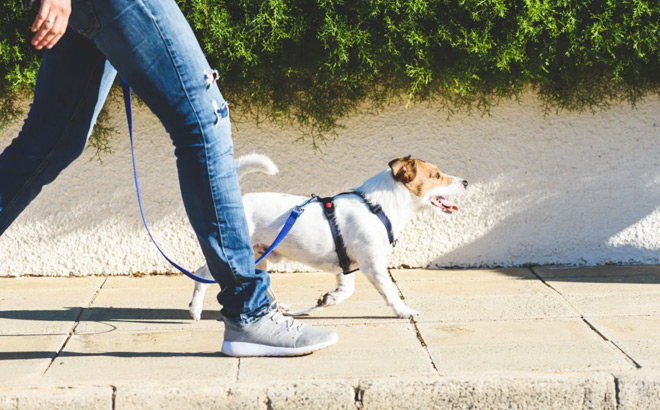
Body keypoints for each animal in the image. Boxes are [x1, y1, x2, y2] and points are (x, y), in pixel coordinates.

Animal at [189, 155, 470, 318]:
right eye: (436, 176)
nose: (467, 182)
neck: (378, 206)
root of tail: (237, 203)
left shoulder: (347, 266)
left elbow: (346, 290)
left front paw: (329, 299)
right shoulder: (374, 266)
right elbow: (390, 292)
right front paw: (404, 311)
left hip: (259, 256)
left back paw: (277, 308)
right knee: (202, 275)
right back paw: (195, 309)